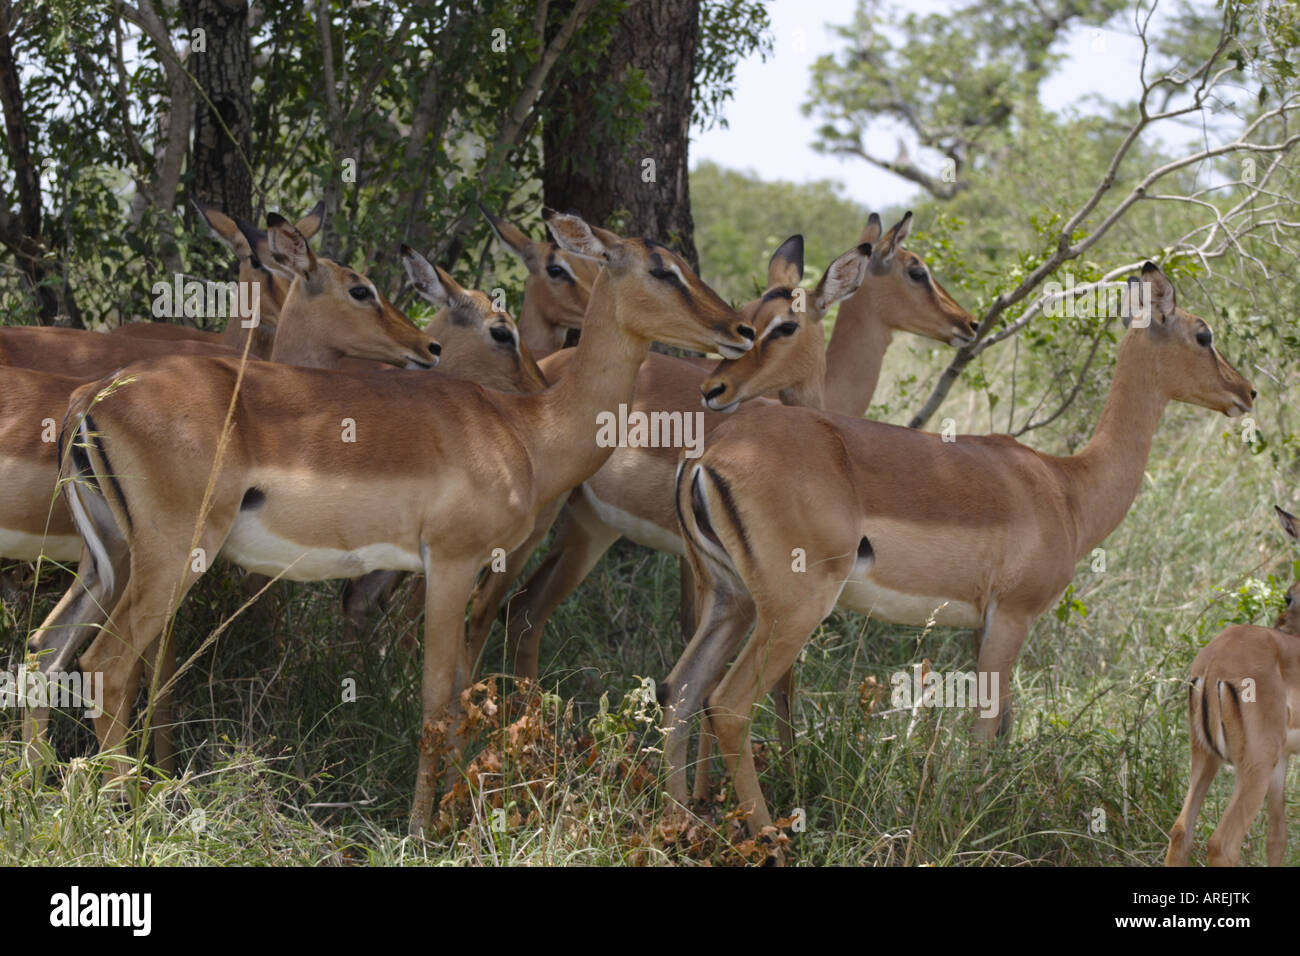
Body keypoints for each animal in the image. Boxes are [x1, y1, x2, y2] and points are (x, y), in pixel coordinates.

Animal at [32, 211, 753, 835]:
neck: (527, 431)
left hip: (109, 559)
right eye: (662, 269)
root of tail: (89, 400)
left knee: (47, 649)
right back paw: (127, 813)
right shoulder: (453, 565)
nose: (739, 331)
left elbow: (457, 694)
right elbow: (436, 700)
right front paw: (421, 830)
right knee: (106, 664)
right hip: (172, 557)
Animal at [466, 212, 976, 686]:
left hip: (590, 524)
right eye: (916, 269)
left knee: (524, 610)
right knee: (486, 605)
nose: (968, 323)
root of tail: (548, 368)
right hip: (541, 522)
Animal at [661, 262, 1255, 851]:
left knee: (679, 691)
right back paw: (770, 838)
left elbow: (1003, 725)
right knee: (728, 704)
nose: (1246, 391)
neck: (1065, 488)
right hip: (792, 611)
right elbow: (984, 728)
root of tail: (711, 455)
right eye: (1203, 334)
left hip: (731, 600)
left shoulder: (982, 625)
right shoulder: (1012, 616)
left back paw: (680, 823)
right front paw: (971, 824)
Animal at [1165, 506, 1300, 867]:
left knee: (1180, 830)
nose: (1281, 624)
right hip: (1253, 766)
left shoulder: (1284, 759)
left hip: (1205, 757)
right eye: (1289, 594)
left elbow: (1277, 839)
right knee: (1222, 843)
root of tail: (1213, 666)